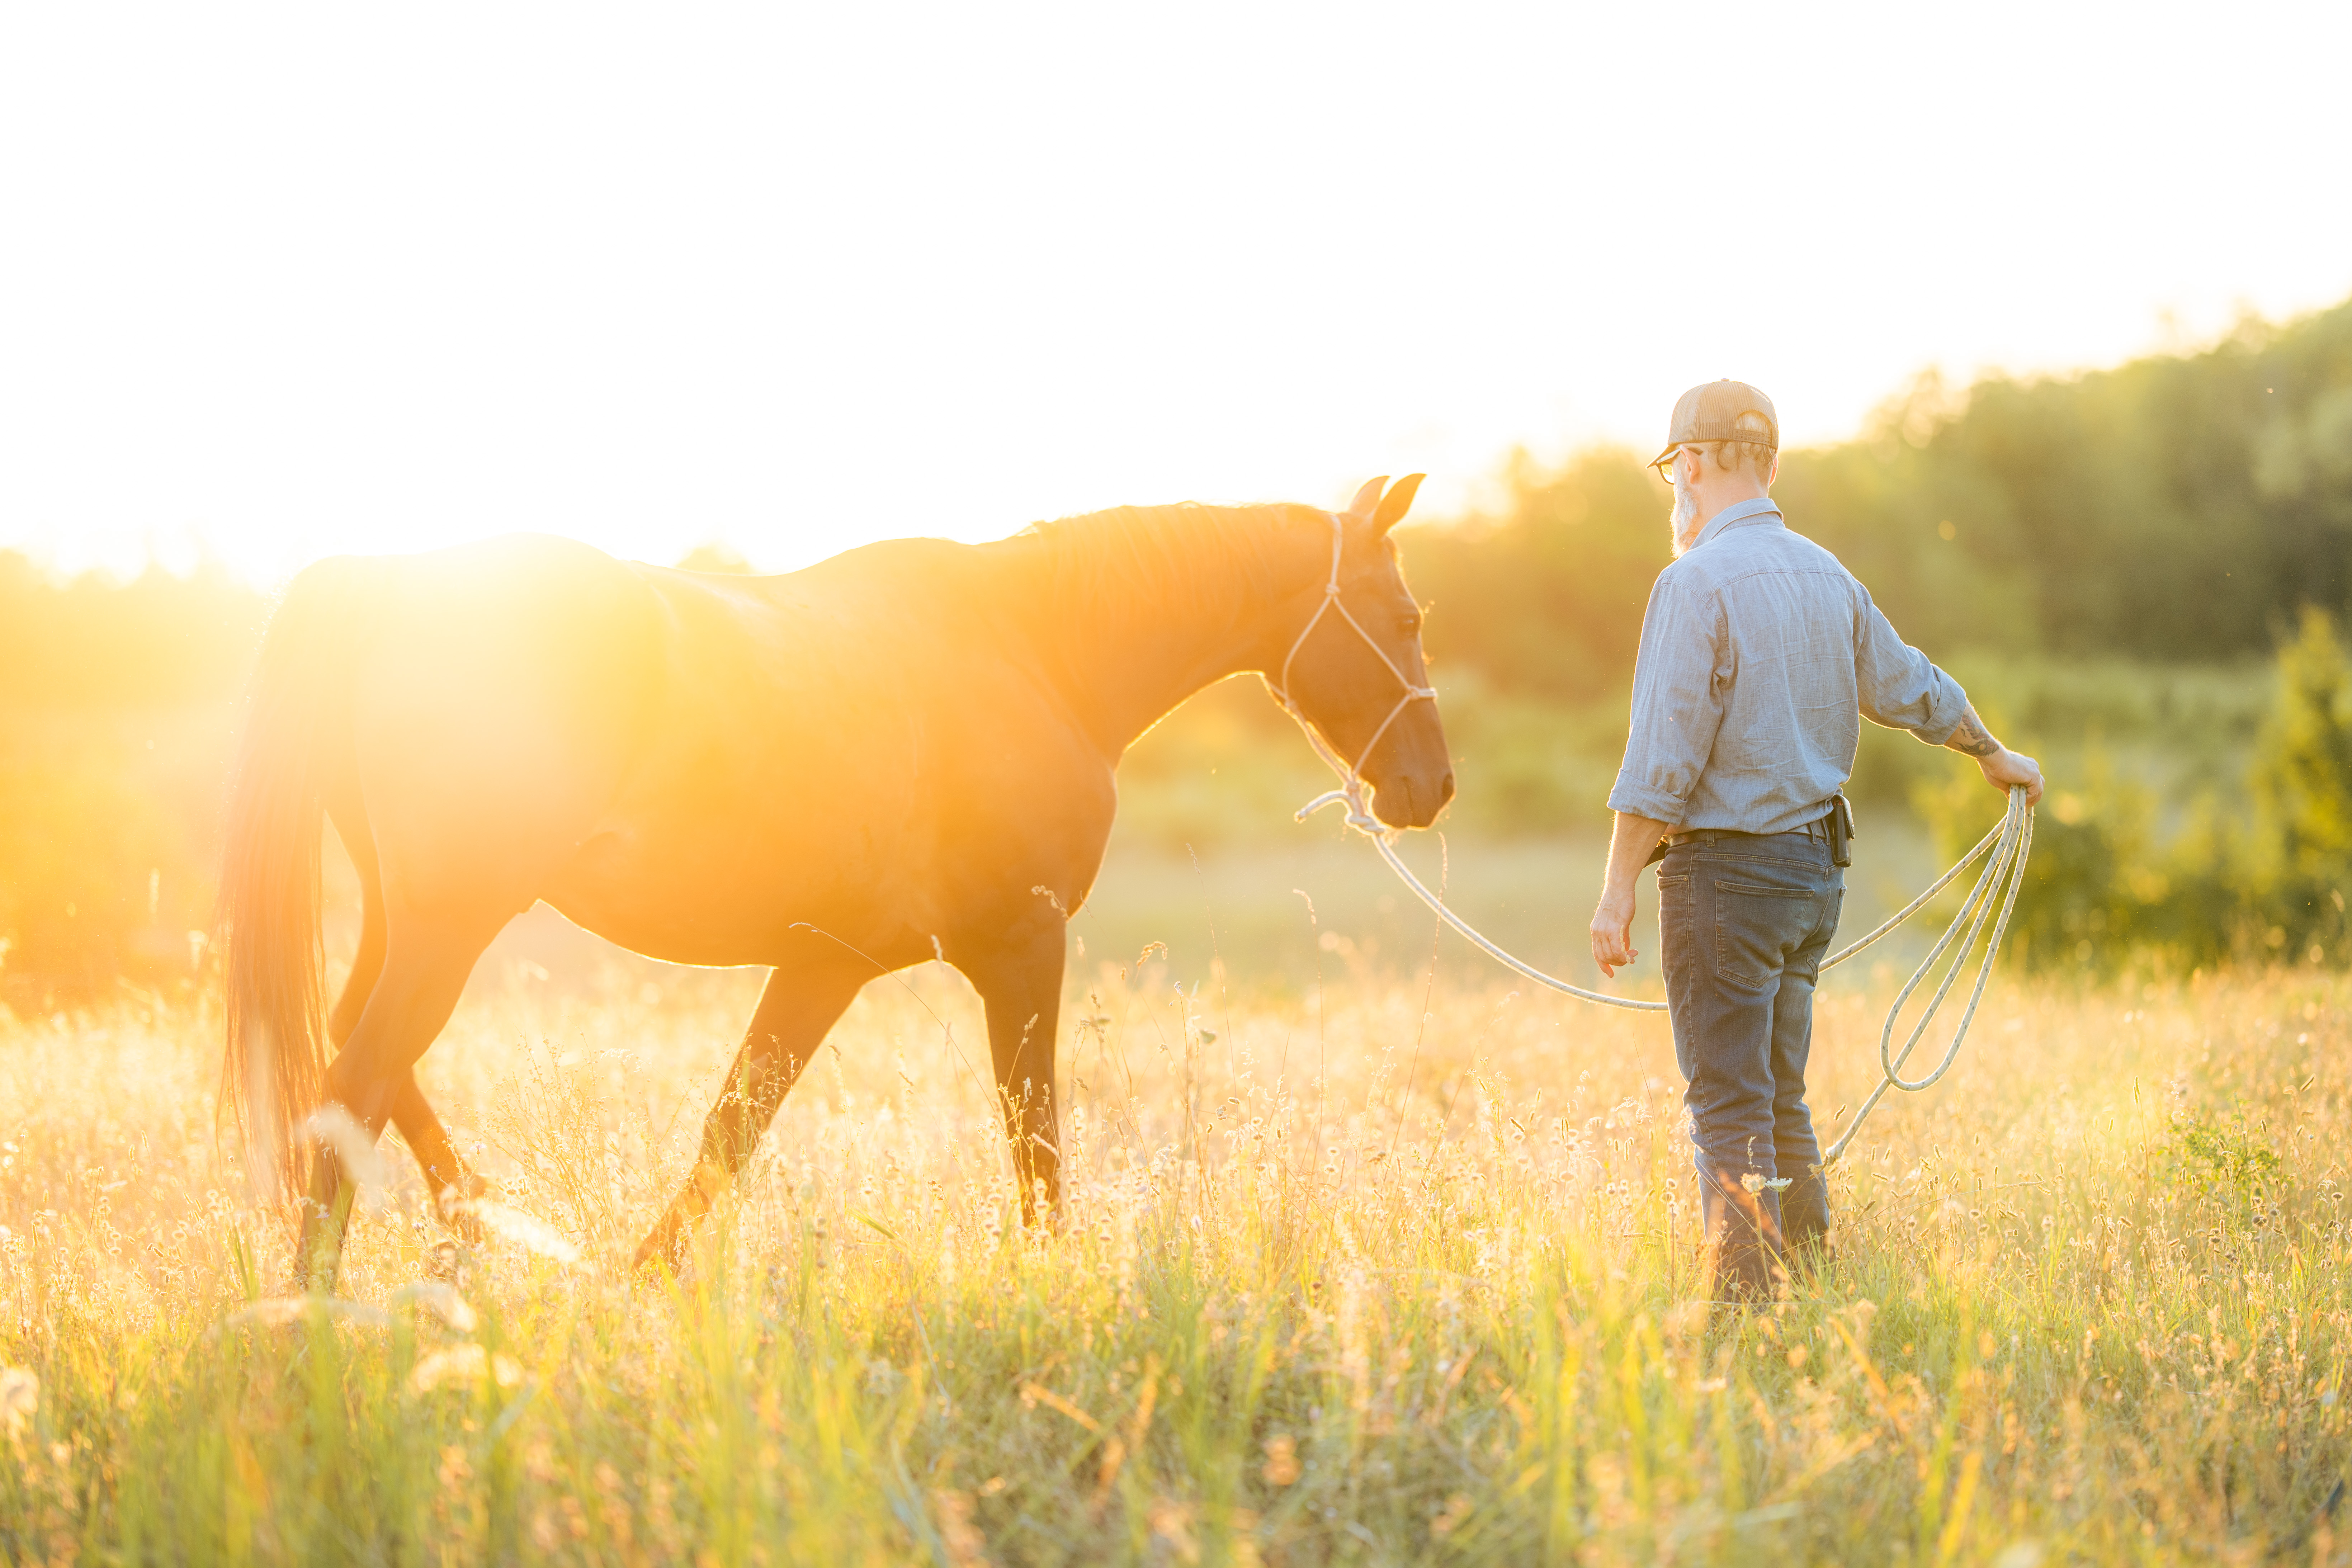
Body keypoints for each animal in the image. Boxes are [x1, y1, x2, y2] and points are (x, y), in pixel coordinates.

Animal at [219, 475, 1452, 1283]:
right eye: (1404, 615)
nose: (1427, 786)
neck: (1032, 651)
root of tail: (391, 577)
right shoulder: (1021, 946)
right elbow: (1035, 1134)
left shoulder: (826, 962)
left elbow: (732, 1128)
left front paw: (635, 1283)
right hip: (450, 922)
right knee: (355, 1077)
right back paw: (321, 1302)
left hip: (409, 920)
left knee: (359, 1063)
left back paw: (484, 1230)